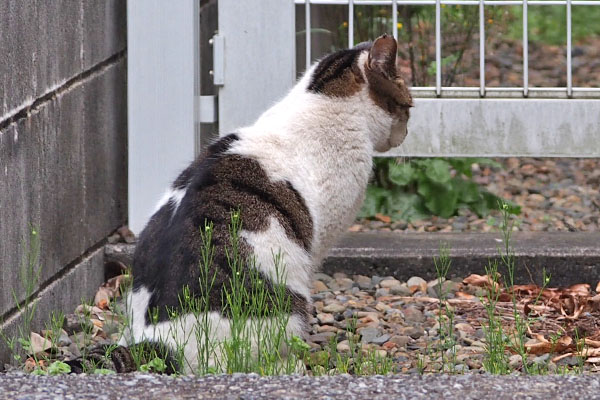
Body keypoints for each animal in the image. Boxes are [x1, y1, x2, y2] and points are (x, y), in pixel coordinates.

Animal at [121, 33, 412, 372]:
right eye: (408, 105)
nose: (406, 133)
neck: (323, 100)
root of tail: (156, 343)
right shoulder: (320, 238)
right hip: (286, 303)